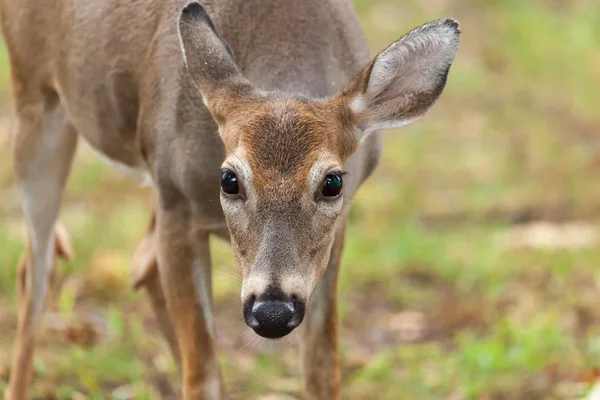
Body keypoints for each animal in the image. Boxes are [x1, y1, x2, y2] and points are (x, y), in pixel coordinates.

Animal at [0, 0, 460, 398]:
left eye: (333, 182)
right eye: (229, 179)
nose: (273, 311)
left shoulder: (334, 234)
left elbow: (321, 370)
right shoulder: (175, 201)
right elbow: (202, 374)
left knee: (139, 262)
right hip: (36, 102)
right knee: (36, 271)